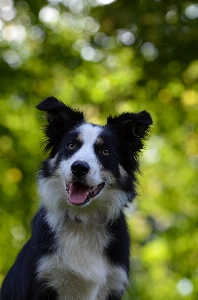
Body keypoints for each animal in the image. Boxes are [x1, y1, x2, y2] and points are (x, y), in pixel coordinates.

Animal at [0, 96, 152, 300]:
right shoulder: (45, 279)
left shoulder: (113, 285)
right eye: (71, 145)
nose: (79, 168)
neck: (83, 221)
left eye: (105, 151)